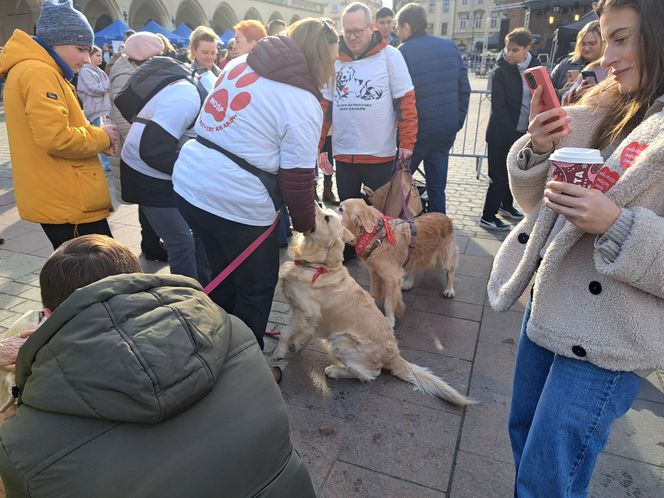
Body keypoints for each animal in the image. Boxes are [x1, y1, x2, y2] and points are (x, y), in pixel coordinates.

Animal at [340, 198, 460, 326]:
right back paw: (408, 283)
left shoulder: (392, 278)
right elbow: (374, 293)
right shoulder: (374, 272)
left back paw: (449, 290)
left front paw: (389, 321)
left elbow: (388, 303)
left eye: (341, 209)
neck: (376, 236)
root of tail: (444, 216)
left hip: (445, 256)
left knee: (450, 271)